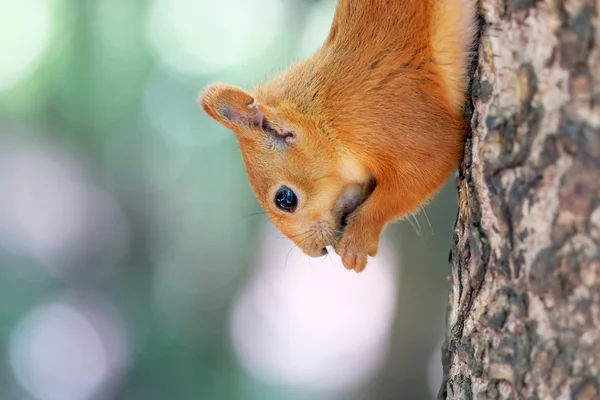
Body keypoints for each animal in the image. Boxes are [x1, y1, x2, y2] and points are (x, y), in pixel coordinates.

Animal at [199, 0, 476, 272]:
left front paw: (357, 240)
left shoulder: (400, 121)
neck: (326, 120)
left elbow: (424, 170)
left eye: (285, 199)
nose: (315, 252)